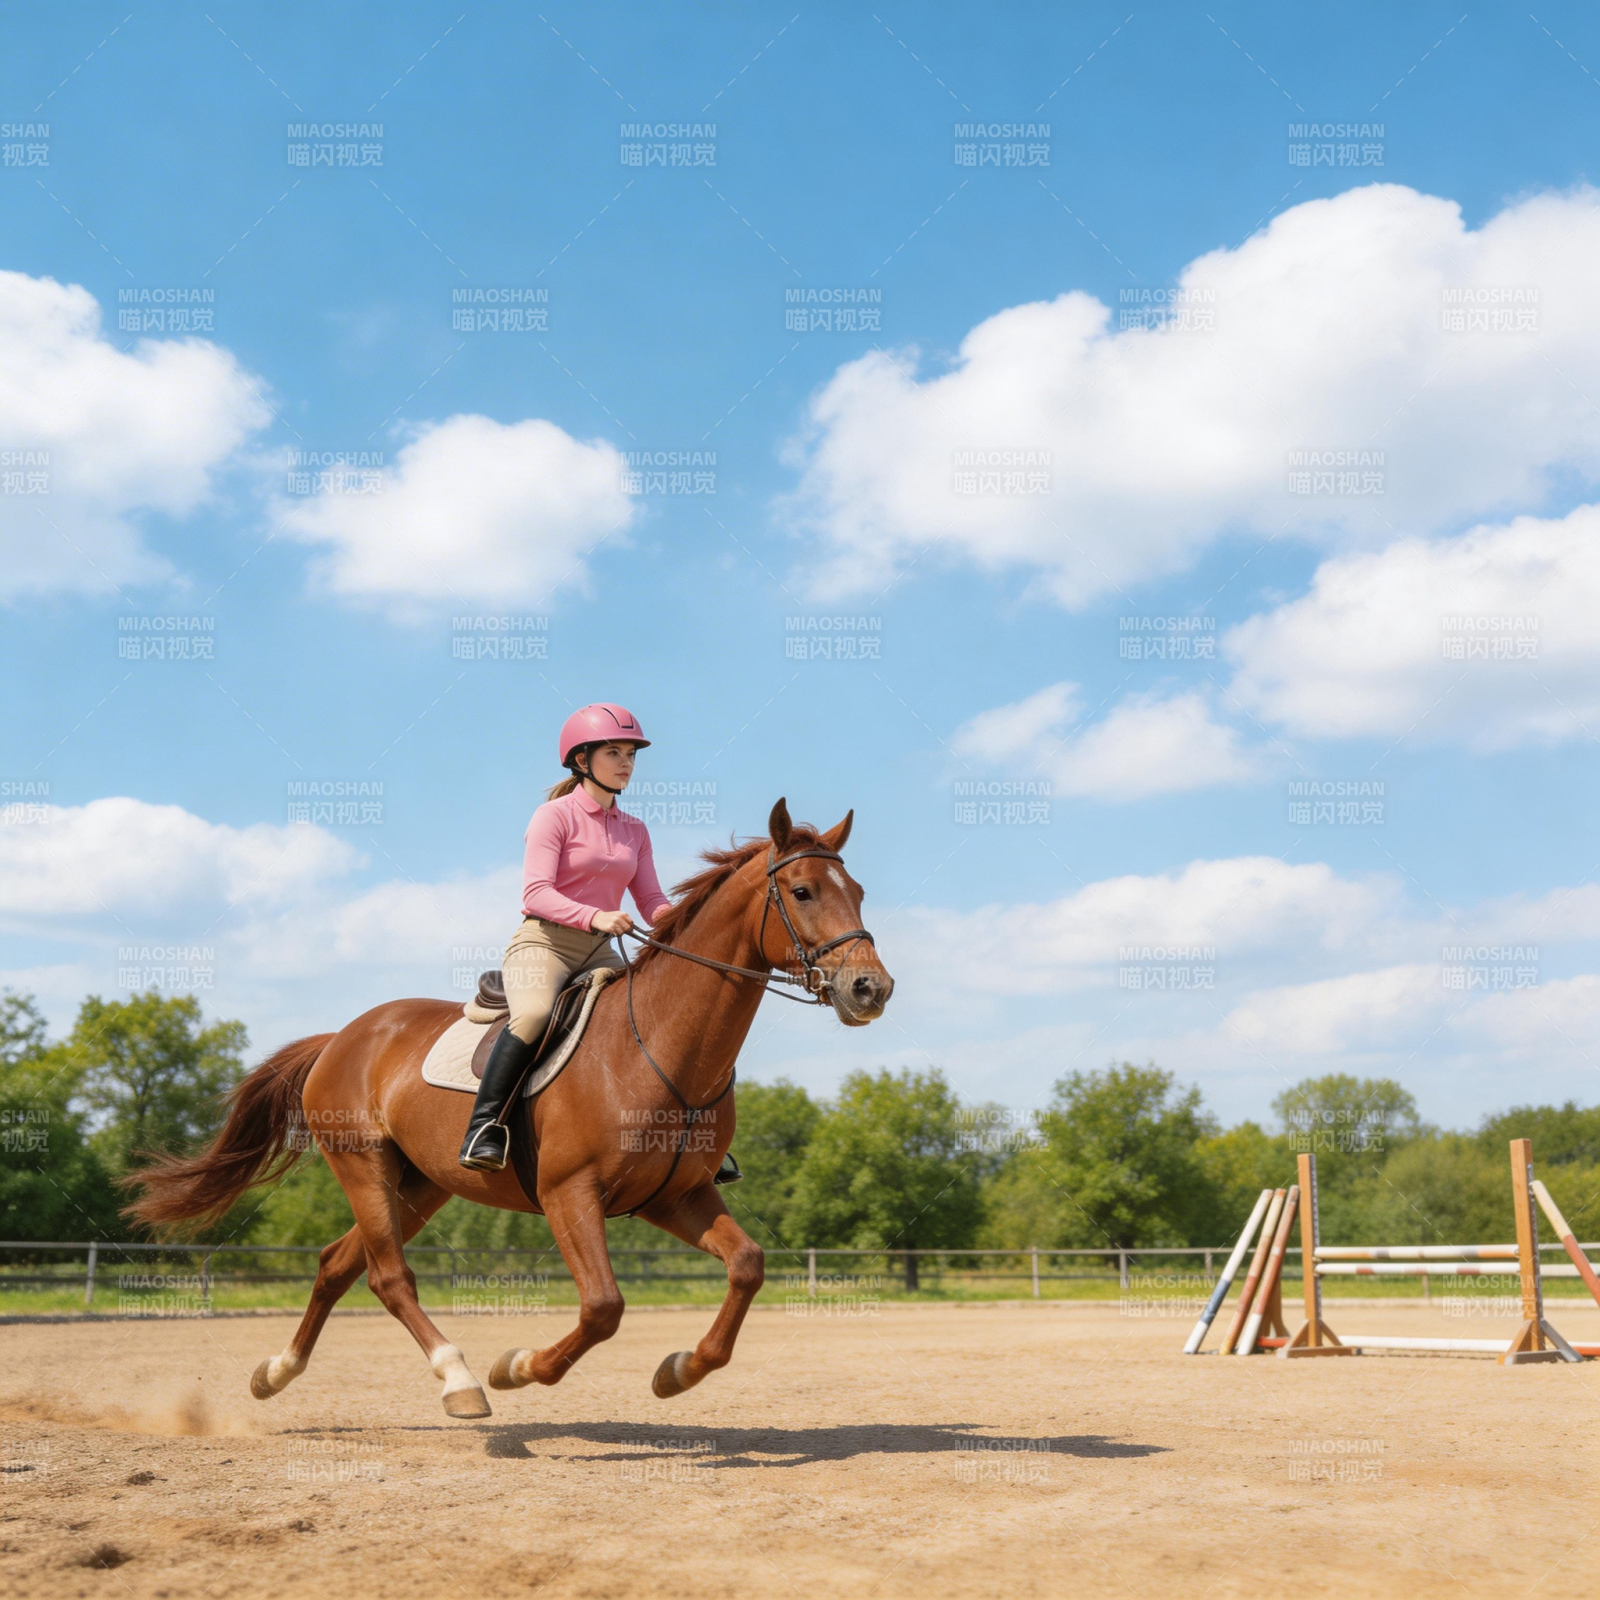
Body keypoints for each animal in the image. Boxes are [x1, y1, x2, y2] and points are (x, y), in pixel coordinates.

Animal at [124, 801, 893, 1418]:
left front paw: (678, 1372)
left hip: (421, 1183)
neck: (658, 1045)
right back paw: (461, 1381)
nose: (871, 990)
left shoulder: (675, 1195)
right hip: (363, 1166)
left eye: (857, 890)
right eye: (801, 890)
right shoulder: (568, 1193)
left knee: (337, 1264)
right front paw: (517, 1367)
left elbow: (748, 1266)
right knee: (388, 1275)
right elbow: (604, 1307)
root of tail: (342, 1036)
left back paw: (275, 1374)